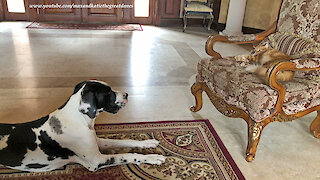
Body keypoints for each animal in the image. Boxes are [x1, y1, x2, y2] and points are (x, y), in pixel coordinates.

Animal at [0, 80, 165, 172]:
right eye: (108, 93)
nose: (126, 94)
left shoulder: (98, 142)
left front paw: (147, 143)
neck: (79, 119)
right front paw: (152, 157)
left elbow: (124, 141)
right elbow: (127, 155)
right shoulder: (96, 161)